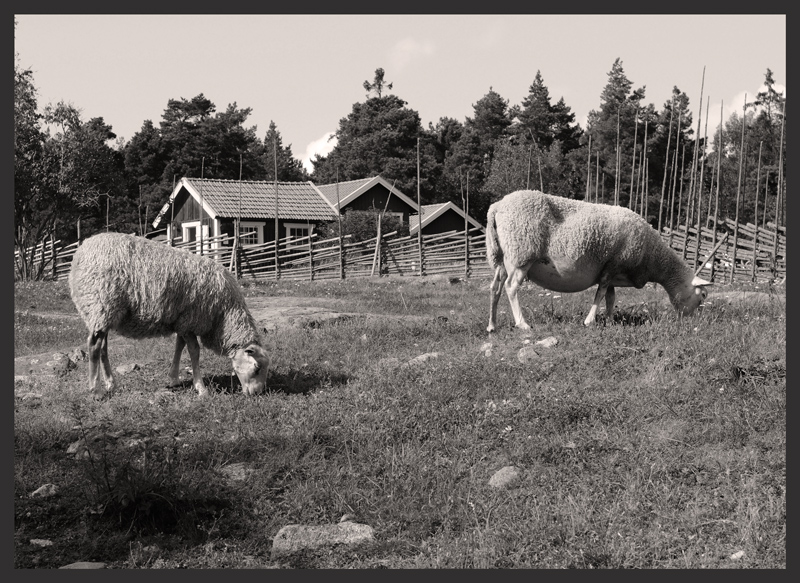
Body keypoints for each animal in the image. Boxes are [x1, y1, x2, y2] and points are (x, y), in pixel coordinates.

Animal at [69, 230, 268, 400]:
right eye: (257, 368)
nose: (257, 394)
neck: (225, 314)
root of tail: (79, 255)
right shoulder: (191, 318)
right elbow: (194, 351)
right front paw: (201, 388)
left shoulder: (182, 321)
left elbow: (179, 346)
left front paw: (173, 378)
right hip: (101, 303)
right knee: (94, 346)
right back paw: (96, 390)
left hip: (105, 313)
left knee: (103, 347)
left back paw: (111, 383)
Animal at [484, 189, 708, 330]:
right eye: (702, 296)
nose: (693, 323)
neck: (652, 257)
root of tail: (497, 206)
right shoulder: (613, 264)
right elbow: (600, 294)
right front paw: (590, 321)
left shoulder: (613, 270)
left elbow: (610, 297)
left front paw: (609, 321)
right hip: (521, 253)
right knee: (511, 287)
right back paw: (522, 324)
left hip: (502, 258)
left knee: (495, 288)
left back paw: (492, 325)